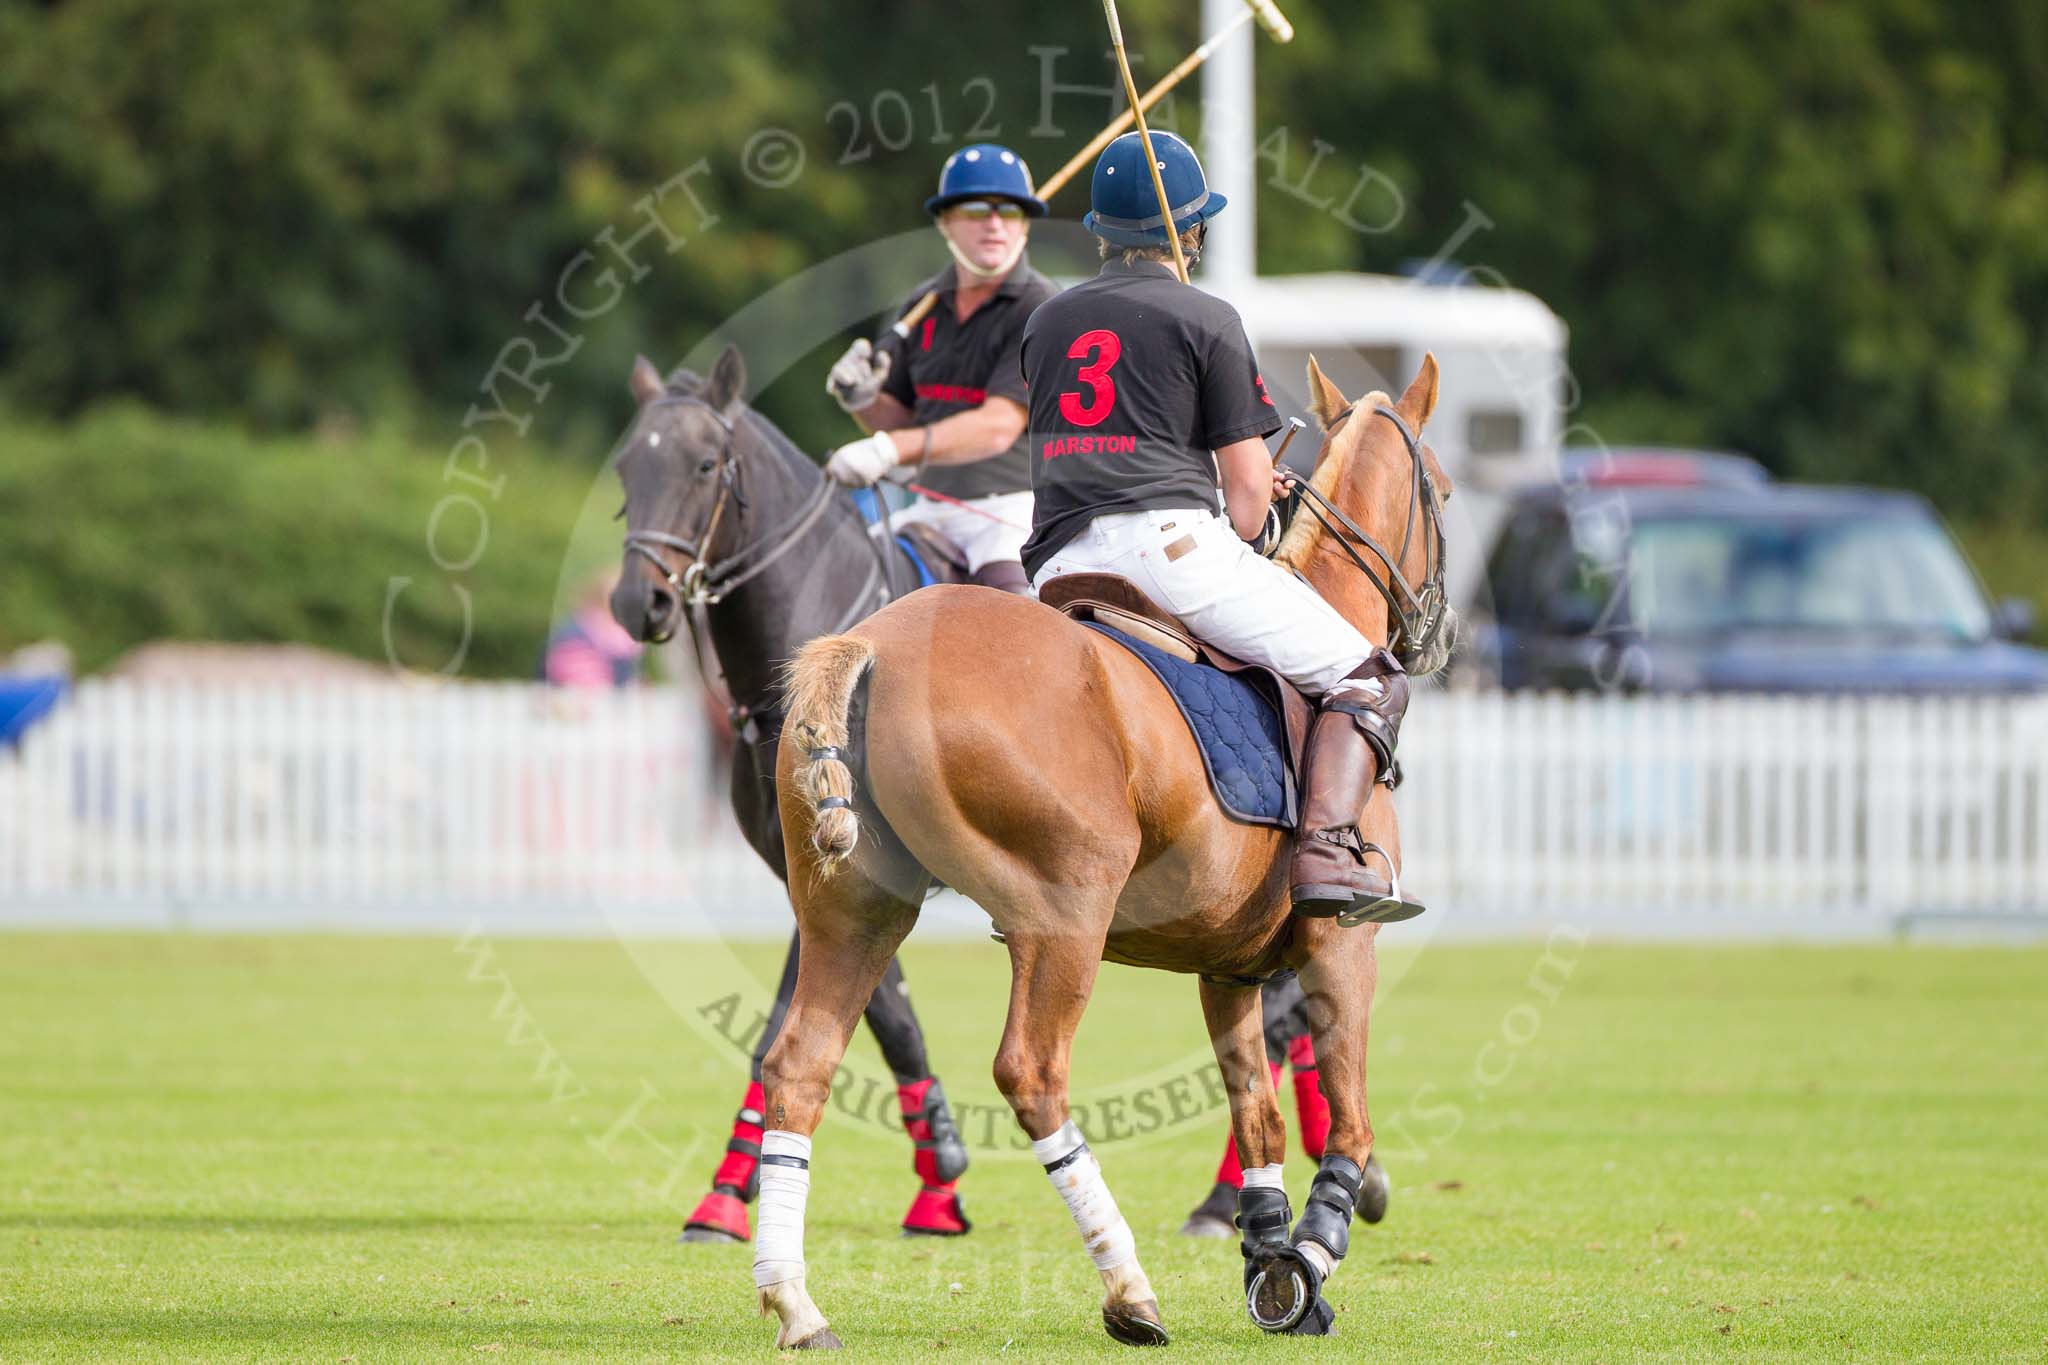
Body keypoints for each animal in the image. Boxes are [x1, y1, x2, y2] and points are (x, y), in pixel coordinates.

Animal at [753, 358, 1458, 1350]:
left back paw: (796, 1303)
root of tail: (872, 644)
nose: (1441, 632)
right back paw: (1130, 1290)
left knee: (799, 1063)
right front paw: (1310, 1258)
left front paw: (1268, 1259)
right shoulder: (1342, 943)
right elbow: (1348, 1122)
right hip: (1065, 913)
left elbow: (1259, 1118)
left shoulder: (1228, 966)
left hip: (852, 906)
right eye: (1446, 487)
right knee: (1032, 1072)